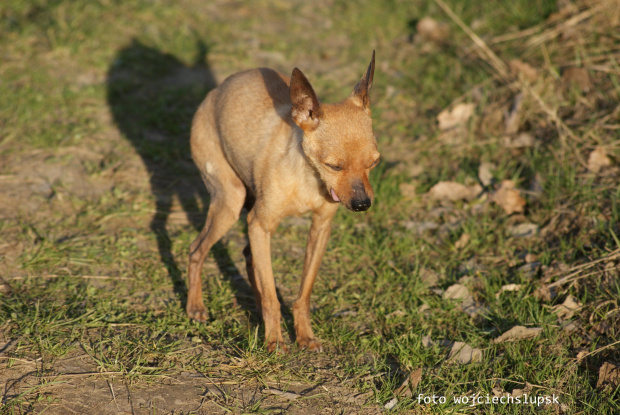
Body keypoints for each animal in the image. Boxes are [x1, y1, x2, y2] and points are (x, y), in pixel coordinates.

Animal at [185, 50, 378, 352]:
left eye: (374, 163)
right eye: (334, 166)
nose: (362, 204)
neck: (307, 179)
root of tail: (216, 90)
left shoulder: (320, 229)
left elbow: (303, 294)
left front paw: (304, 335)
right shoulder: (260, 224)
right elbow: (273, 299)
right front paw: (274, 341)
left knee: (249, 258)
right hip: (231, 201)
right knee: (196, 250)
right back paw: (195, 307)